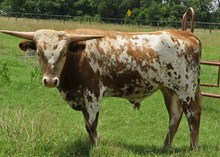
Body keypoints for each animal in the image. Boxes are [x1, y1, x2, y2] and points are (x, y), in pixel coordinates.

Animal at [0, 28, 202, 150]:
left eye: (63, 53)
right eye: (39, 53)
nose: (50, 80)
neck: (78, 57)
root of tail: (187, 35)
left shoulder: (93, 94)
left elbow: (91, 125)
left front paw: (95, 147)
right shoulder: (81, 98)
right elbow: (87, 125)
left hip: (186, 88)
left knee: (193, 115)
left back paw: (193, 148)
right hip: (169, 89)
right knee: (175, 116)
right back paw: (165, 147)